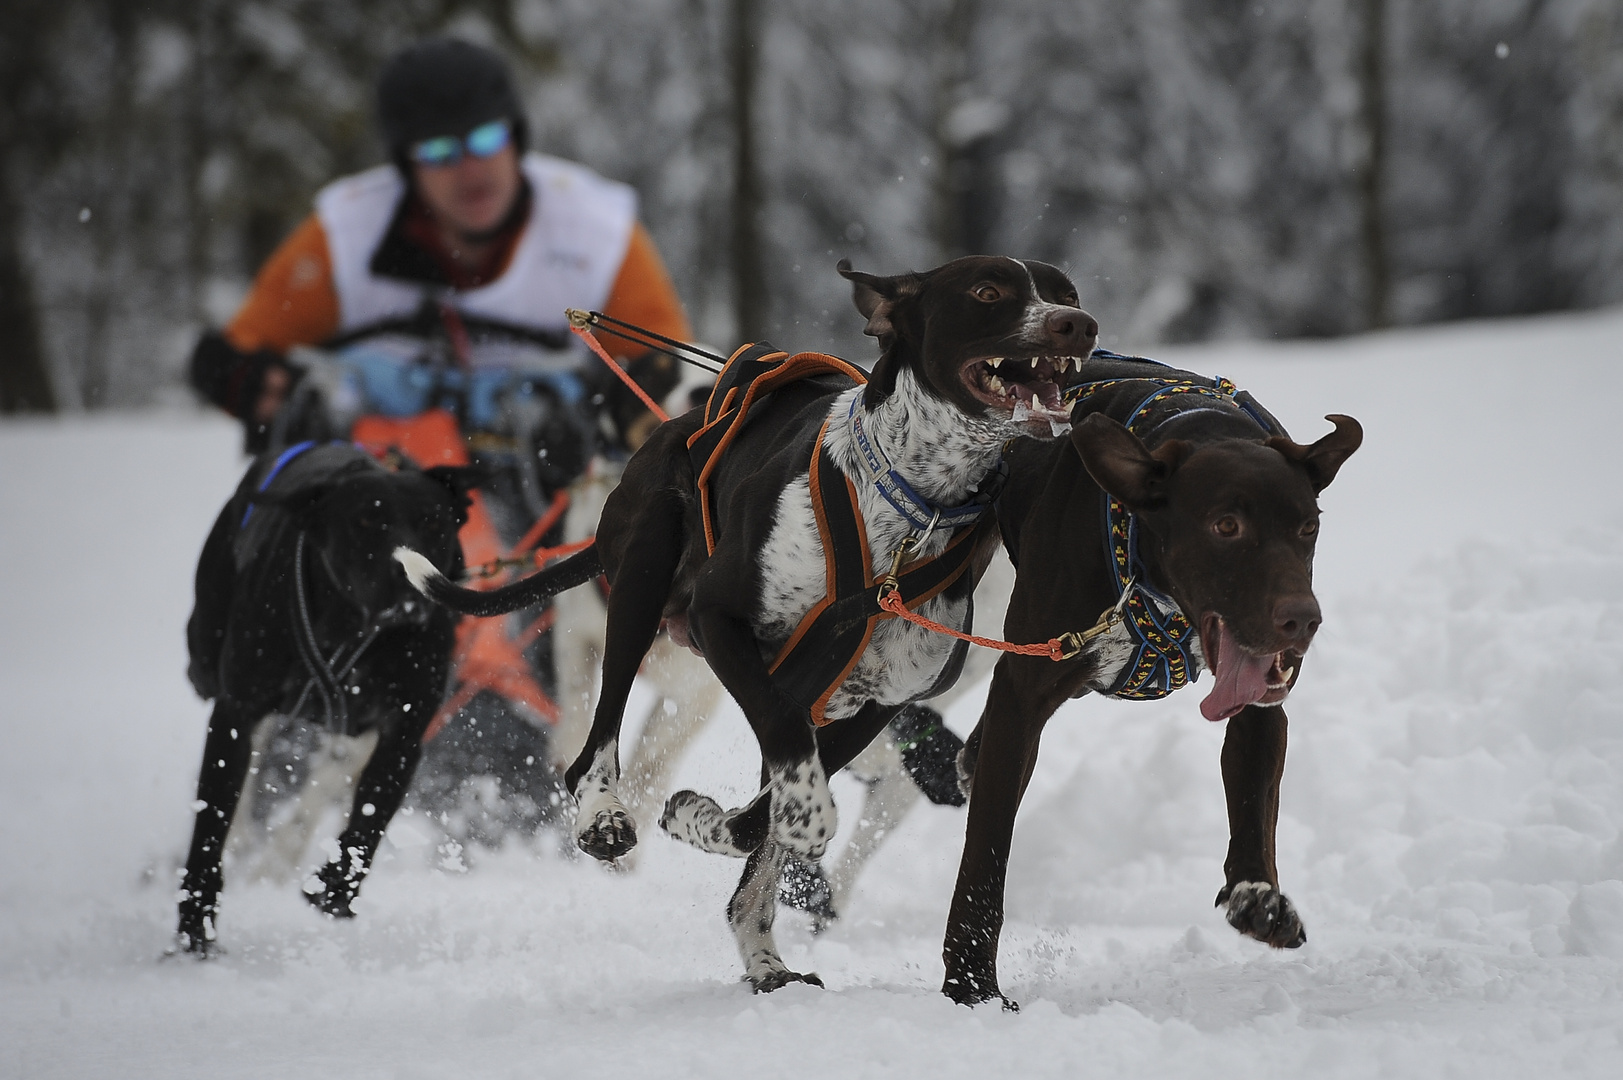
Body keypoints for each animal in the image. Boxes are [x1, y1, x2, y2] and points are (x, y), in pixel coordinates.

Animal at [176, 441, 473, 954]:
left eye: (432, 521)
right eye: (365, 520)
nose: (404, 572)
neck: (350, 626)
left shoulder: (404, 730)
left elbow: (369, 819)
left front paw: (336, 886)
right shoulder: (236, 711)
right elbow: (211, 820)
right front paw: (196, 925)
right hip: (205, 653)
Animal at [397, 254, 1097, 987]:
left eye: (1067, 292)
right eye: (988, 292)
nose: (1078, 325)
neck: (910, 511)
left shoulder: (873, 701)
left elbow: (760, 817)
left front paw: (701, 818)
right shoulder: (721, 623)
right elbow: (785, 778)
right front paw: (775, 820)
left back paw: (767, 958)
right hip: (642, 579)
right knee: (596, 739)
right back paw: (604, 814)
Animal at [941, 354, 1356, 1000]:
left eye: (1307, 526)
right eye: (1226, 526)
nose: (1302, 620)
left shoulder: (1259, 705)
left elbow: (1253, 803)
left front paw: (1256, 898)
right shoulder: (1023, 694)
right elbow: (986, 856)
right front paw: (971, 987)